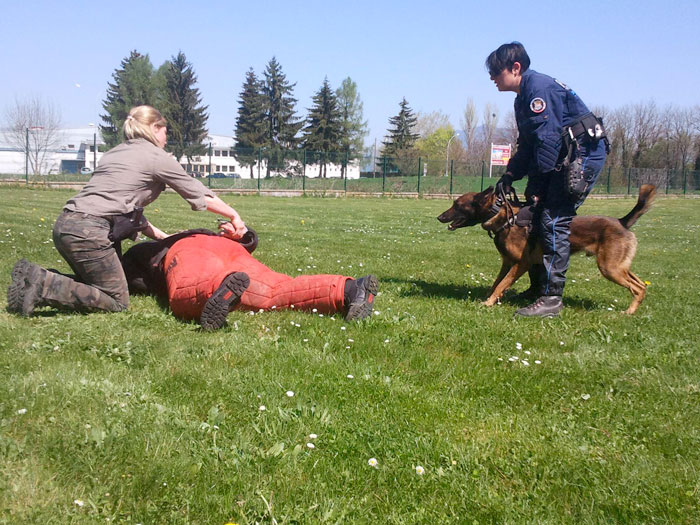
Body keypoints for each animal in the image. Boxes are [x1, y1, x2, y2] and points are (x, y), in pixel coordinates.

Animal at [438, 184, 656, 314]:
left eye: (457, 204)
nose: (439, 217)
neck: (503, 217)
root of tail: (622, 221)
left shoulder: (521, 263)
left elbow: (502, 284)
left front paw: (489, 303)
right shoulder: (507, 262)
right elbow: (496, 283)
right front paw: (490, 298)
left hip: (609, 268)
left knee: (637, 287)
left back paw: (629, 312)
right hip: (618, 267)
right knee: (641, 285)